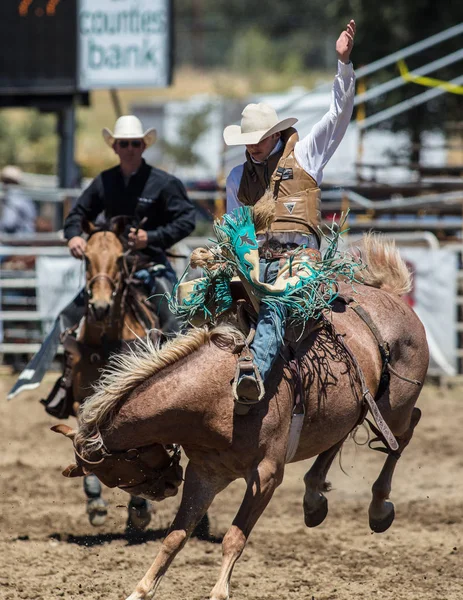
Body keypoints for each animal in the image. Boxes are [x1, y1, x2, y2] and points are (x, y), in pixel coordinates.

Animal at [55, 234, 432, 600]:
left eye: (124, 470)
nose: (167, 487)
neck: (217, 396)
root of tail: (391, 296)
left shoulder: (266, 475)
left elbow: (233, 538)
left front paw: (218, 592)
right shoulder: (205, 474)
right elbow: (175, 538)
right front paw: (140, 590)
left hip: (394, 408)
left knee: (406, 429)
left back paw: (379, 506)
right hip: (353, 408)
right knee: (343, 434)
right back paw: (313, 499)